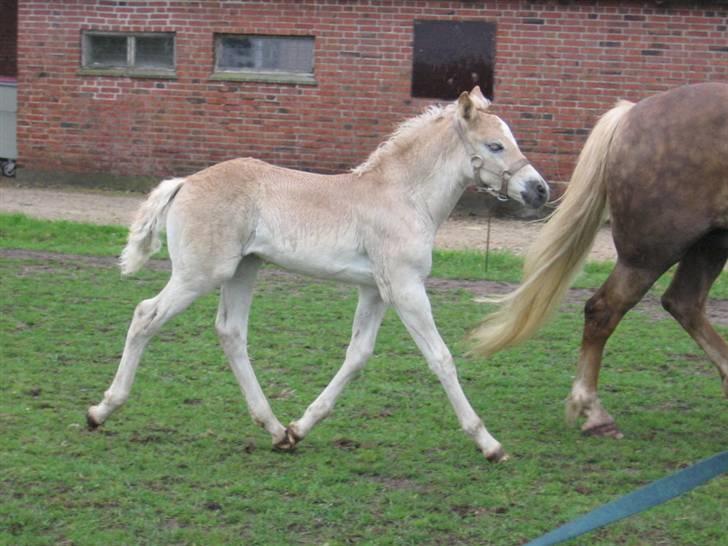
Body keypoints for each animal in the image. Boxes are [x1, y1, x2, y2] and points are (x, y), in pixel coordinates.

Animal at [86, 87, 544, 462]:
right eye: (495, 145)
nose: (539, 190)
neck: (403, 197)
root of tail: (184, 182)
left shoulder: (375, 291)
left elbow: (357, 356)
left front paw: (300, 428)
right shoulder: (405, 287)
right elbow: (441, 357)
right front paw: (488, 443)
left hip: (243, 270)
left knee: (231, 333)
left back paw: (276, 431)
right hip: (199, 273)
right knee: (146, 315)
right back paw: (100, 411)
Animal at [472, 83, 728, 436]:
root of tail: (630, 114)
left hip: (711, 242)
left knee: (683, 303)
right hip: (650, 253)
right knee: (604, 309)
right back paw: (594, 412)